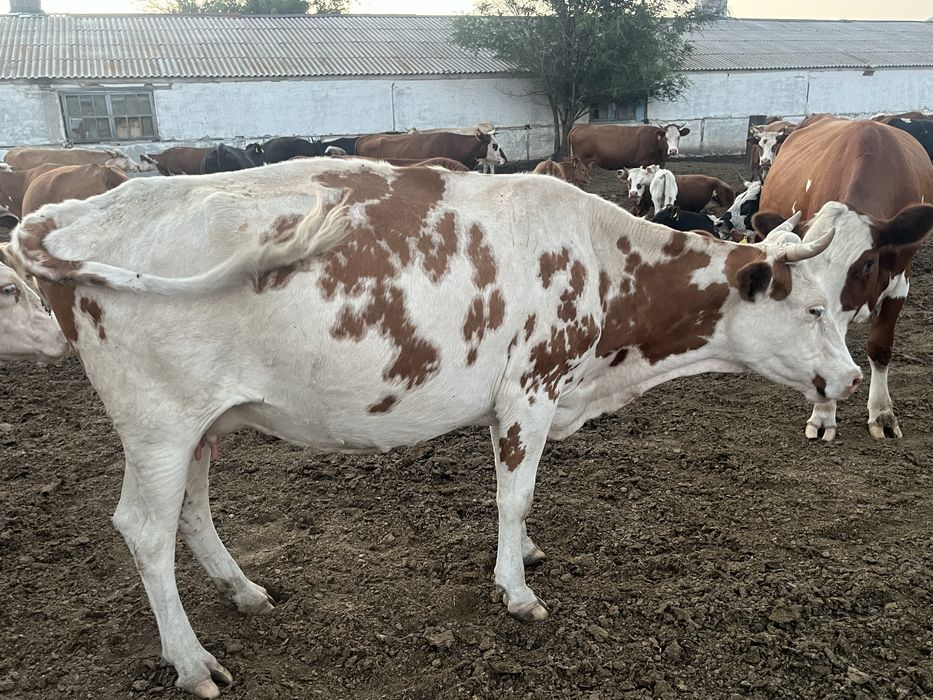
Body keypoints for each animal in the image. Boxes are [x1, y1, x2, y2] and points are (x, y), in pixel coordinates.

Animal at [10, 158, 864, 698]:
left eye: (834, 303)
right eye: (811, 308)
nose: (854, 379)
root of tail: (78, 208)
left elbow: (519, 501)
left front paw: (526, 555)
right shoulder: (530, 389)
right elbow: (514, 496)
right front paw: (516, 590)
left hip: (199, 425)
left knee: (191, 512)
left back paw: (244, 590)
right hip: (156, 421)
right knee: (144, 528)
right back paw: (190, 662)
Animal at [758, 116, 933, 441]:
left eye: (867, 264)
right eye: (805, 264)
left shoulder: (901, 280)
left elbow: (880, 347)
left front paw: (882, 414)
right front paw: (823, 416)